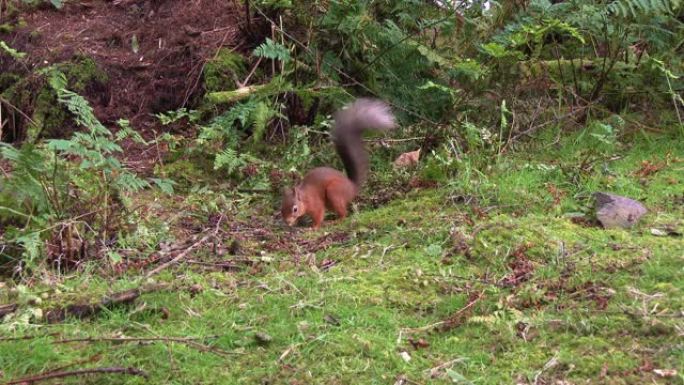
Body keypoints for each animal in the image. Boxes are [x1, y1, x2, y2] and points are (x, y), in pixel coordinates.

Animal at [280, 97, 396, 228]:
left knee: (344, 214)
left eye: (295, 209)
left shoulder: (316, 204)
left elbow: (319, 214)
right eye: (281, 208)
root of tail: (352, 187)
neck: (305, 197)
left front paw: (313, 227)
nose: (287, 221)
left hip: (334, 192)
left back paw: (335, 221)